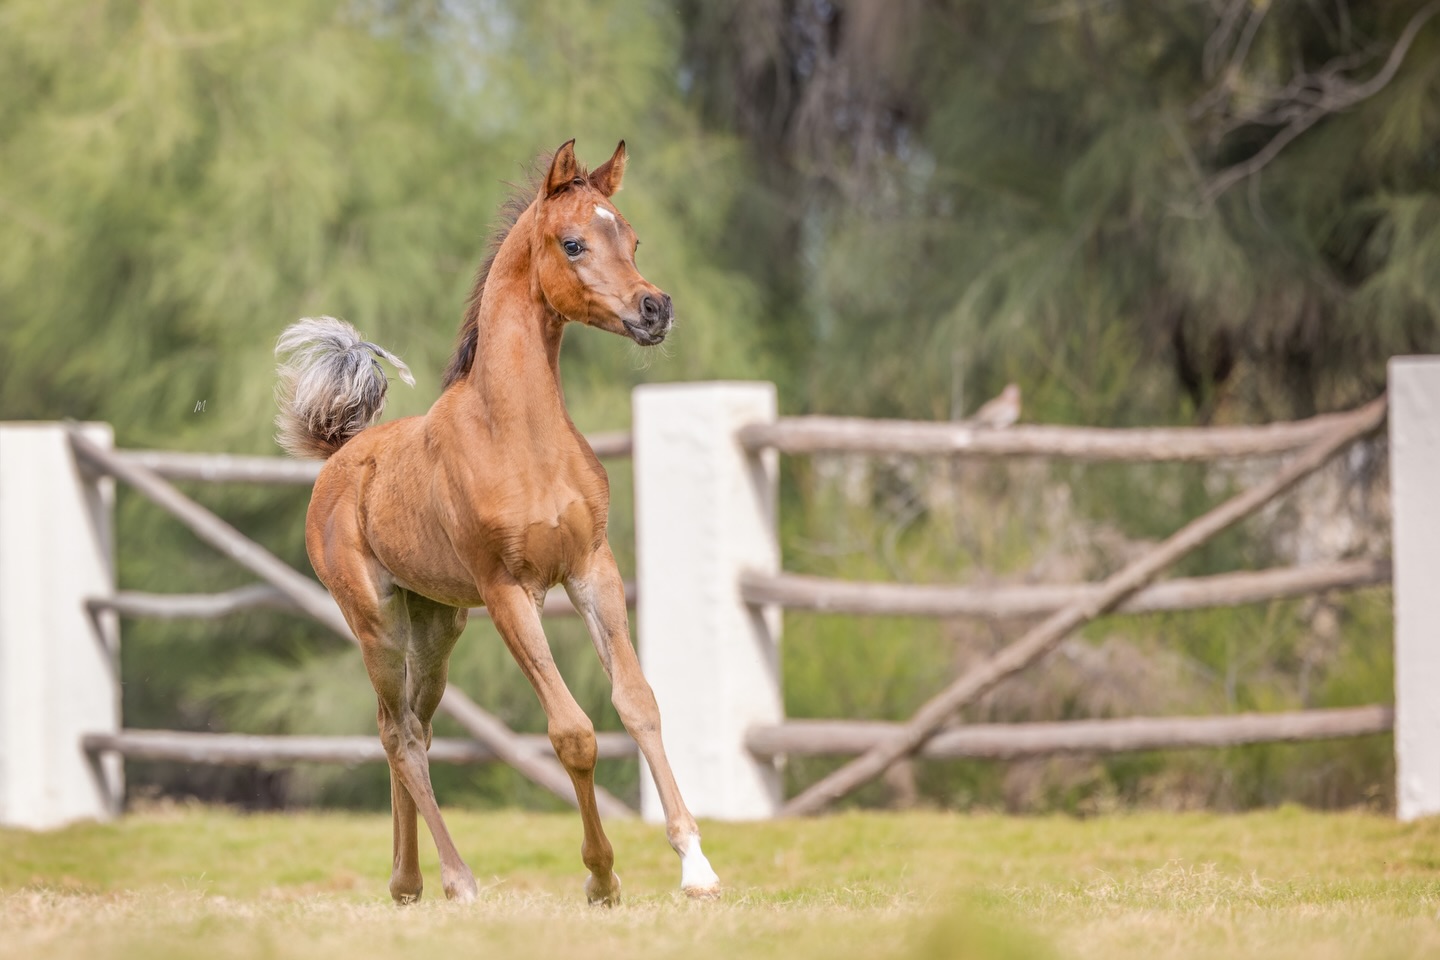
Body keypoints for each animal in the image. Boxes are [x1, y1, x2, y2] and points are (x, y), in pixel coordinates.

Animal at [273, 139, 719, 905]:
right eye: (572, 243)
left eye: (631, 238)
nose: (654, 308)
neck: (519, 438)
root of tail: (339, 458)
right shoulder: (508, 591)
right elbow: (572, 731)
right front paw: (601, 877)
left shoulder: (592, 569)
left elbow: (638, 703)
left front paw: (697, 866)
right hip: (377, 622)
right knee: (398, 734)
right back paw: (457, 881)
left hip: (439, 625)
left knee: (414, 728)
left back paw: (407, 882)